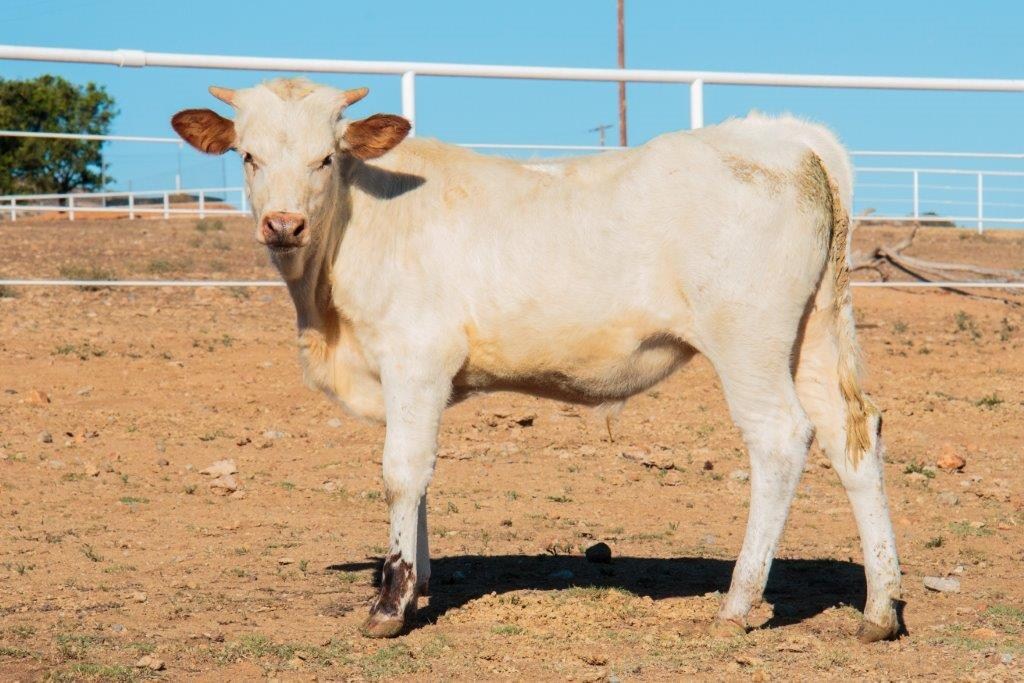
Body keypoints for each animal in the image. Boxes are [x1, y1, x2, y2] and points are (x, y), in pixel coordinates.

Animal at [171, 78, 901, 641]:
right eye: (248, 156)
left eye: (326, 158)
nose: (283, 225)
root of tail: (784, 137)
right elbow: (423, 475)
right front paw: (421, 580)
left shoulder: (415, 359)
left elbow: (402, 472)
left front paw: (392, 601)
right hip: (814, 334)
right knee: (853, 432)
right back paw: (880, 609)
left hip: (748, 339)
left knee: (779, 439)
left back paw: (739, 600)